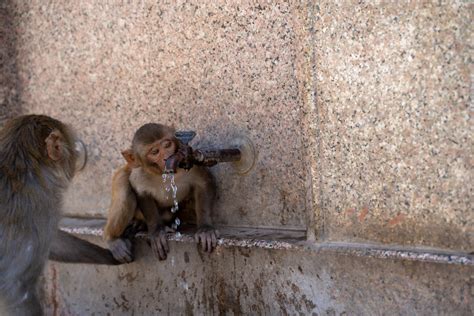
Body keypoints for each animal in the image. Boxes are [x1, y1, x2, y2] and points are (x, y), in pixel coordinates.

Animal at [103, 123, 218, 262]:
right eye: (154, 152)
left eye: (167, 145)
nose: (166, 157)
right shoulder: (139, 174)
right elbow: (141, 193)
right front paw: (157, 232)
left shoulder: (192, 164)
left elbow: (203, 183)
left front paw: (205, 229)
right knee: (124, 191)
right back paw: (112, 238)